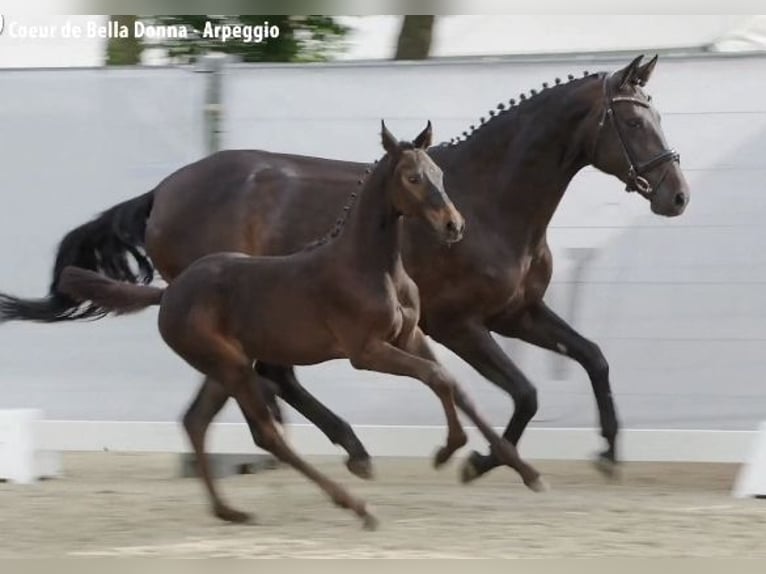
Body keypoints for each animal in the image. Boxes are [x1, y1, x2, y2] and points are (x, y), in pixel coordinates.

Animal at [0, 56, 688, 484]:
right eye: (632, 119)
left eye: (658, 113)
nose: (676, 196)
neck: (491, 198)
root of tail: (164, 192)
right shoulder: (459, 324)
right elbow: (524, 392)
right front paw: (476, 463)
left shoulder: (517, 313)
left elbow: (592, 358)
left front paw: (608, 452)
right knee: (272, 376)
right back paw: (340, 448)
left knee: (272, 376)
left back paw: (325, 449)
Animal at [60, 124, 544, 532]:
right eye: (411, 177)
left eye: (439, 173)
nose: (454, 225)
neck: (370, 265)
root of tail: (168, 293)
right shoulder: (366, 351)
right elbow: (438, 377)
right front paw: (448, 450)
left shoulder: (411, 336)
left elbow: (455, 386)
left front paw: (521, 469)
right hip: (231, 366)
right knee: (266, 432)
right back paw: (356, 504)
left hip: (225, 367)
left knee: (197, 421)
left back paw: (230, 510)